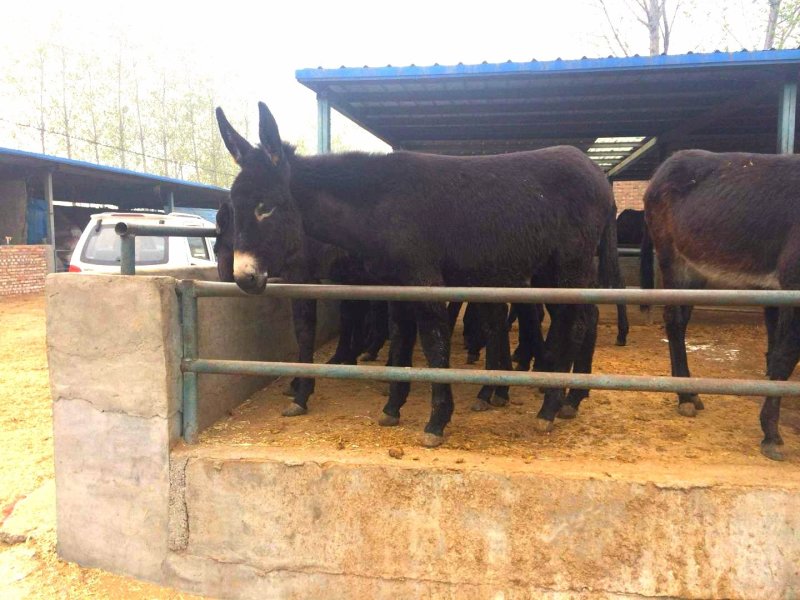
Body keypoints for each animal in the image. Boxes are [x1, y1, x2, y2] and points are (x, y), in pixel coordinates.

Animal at [217, 101, 621, 447]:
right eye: (233, 208)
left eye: (266, 207)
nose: (243, 277)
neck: (379, 203)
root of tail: (596, 173)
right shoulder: (395, 286)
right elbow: (400, 339)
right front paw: (393, 407)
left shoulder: (423, 280)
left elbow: (432, 343)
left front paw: (436, 421)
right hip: (547, 269)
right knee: (573, 319)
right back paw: (563, 397)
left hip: (570, 263)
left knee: (576, 322)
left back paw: (552, 406)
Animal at [641, 149, 800, 461]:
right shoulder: (792, 286)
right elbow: (784, 357)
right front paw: (771, 435)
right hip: (674, 261)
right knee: (674, 320)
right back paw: (684, 396)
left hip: (696, 272)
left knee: (680, 321)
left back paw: (689, 392)